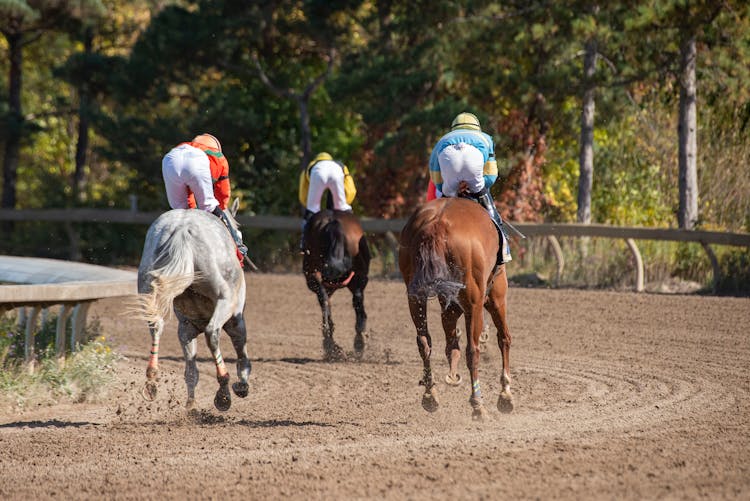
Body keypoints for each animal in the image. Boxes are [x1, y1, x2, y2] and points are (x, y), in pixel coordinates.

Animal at [137, 198, 251, 410]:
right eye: (238, 232)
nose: (242, 248)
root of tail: (182, 228)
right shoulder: (236, 320)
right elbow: (242, 353)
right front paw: (242, 384)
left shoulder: (186, 328)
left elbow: (191, 370)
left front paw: (190, 403)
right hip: (225, 301)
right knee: (212, 333)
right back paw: (223, 390)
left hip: (149, 291)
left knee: (156, 326)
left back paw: (151, 381)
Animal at [400, 197, 516, 420]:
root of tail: (437, 223)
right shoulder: (495, 299)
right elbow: (504, 338)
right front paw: (505, 395)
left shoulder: (450, 306)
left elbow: (451, 346)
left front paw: (453, 375)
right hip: (477, 303)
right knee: (474, 350)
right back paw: (478, 404)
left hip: (415, 297)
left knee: (424, 343)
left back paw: (430, 395)